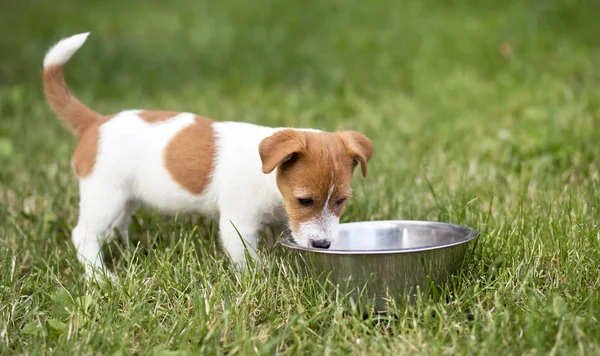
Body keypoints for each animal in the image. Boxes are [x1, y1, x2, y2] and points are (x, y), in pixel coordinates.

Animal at [42, 32, 372, 280]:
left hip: (123, 198)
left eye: (341, 201)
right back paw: (102, 277)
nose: (323, 245)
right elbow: (247, 258)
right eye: (305, 200)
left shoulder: (283, 223)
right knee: (84, 237)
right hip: (105, 196)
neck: (269, 180)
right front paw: (262, 276)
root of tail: (95, 122)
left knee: (113, 227)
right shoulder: (239, 224)